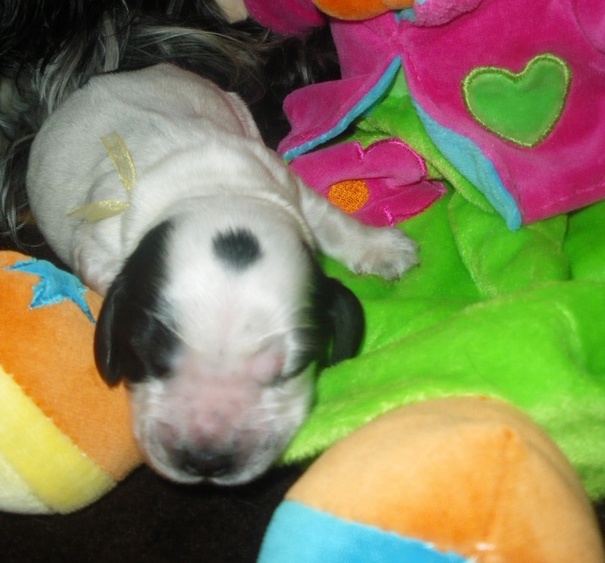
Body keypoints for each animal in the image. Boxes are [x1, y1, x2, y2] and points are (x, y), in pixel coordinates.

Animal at [24, 62, 418, 485]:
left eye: (291, 368)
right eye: (149, 356)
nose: (205, 460)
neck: (213, 194)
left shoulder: (288, 189)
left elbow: (330, 221)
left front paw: (382, 248)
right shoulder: (96, 250)